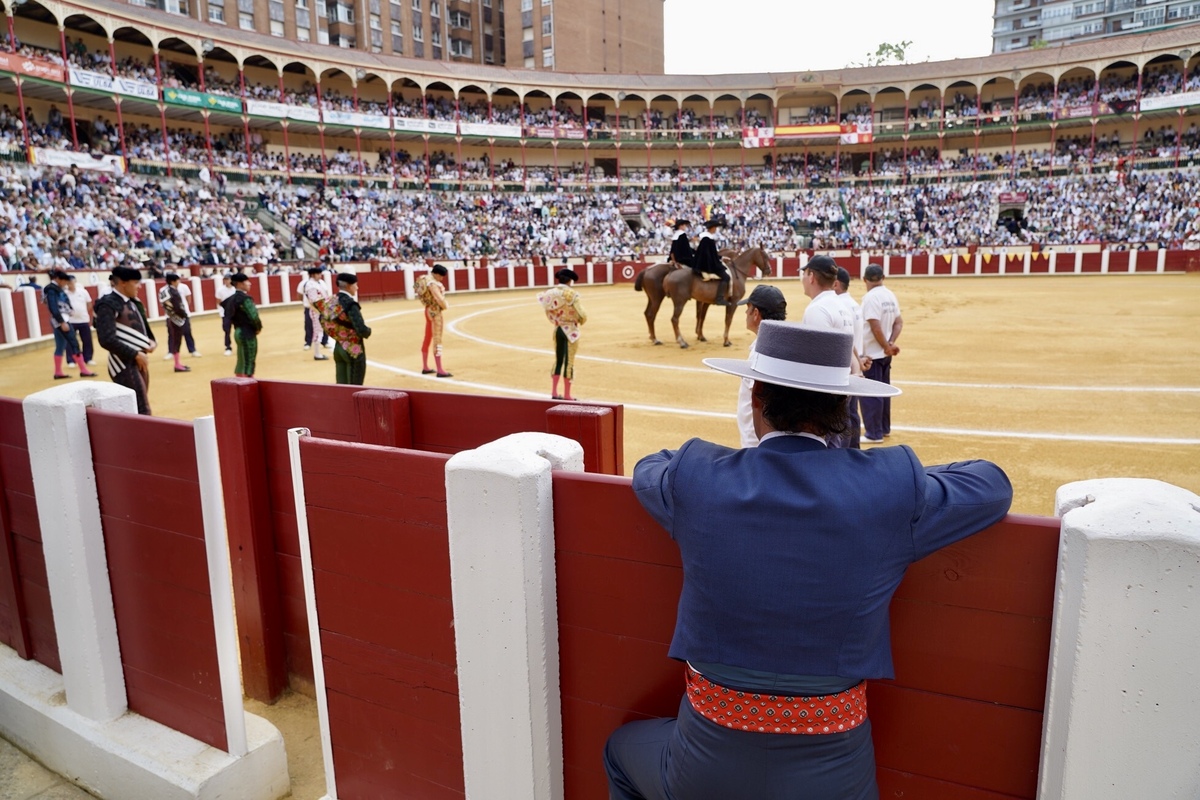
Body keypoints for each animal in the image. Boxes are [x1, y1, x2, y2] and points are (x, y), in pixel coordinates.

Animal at [633, 247, 772, 347]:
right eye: (765, 256)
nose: (769, 271)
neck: (735, 272)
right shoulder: (733, 303)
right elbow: (727, 320)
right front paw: (726, 341)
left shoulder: (705, 301)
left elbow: (701, 316)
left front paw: (701, 336)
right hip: (674, 301)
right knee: (672, 319)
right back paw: (680, 342)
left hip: (653, 298)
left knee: (648, 314)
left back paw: (654, 338)